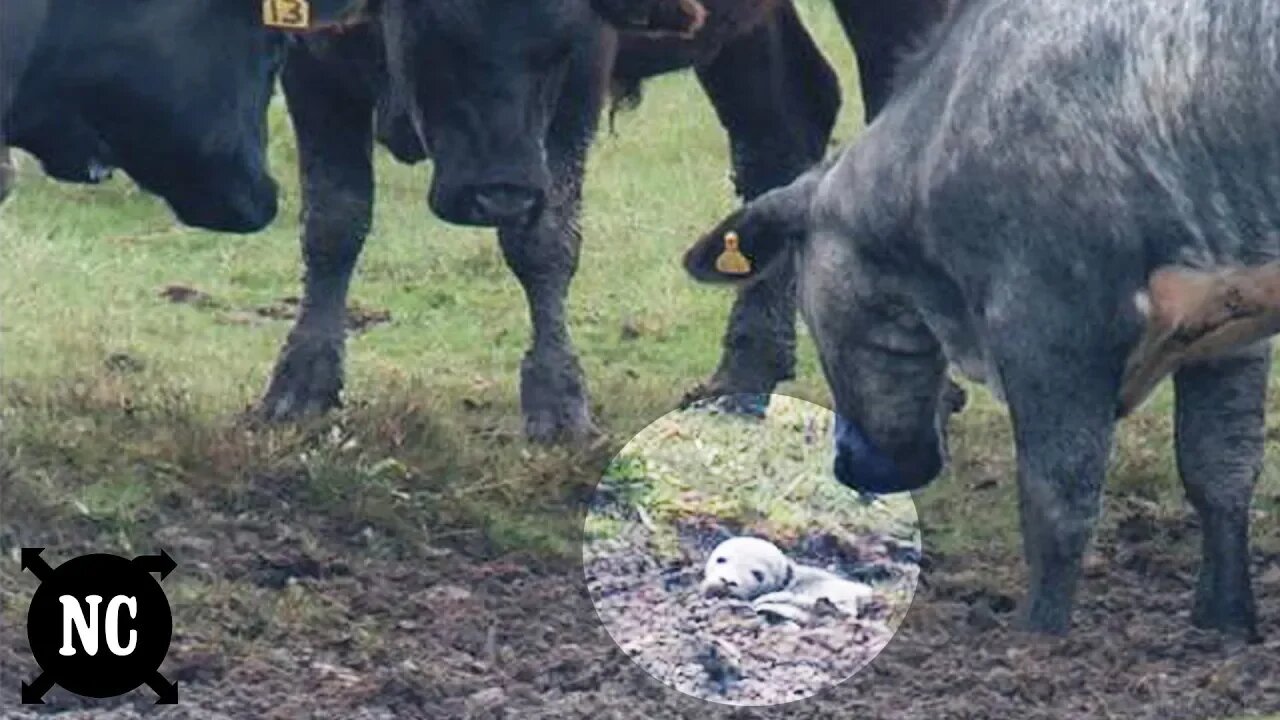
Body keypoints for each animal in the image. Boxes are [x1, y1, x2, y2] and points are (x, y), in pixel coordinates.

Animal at [257, 0, 942, 440]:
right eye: (437, 36)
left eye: (557, 48)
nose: (499, 194)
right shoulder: (310, 60)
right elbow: (333, 222)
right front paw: (299, 385)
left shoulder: (583, 79)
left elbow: (543, 242)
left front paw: (558, 401)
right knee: (782, 127)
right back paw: (743, 373)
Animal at [691, 0, 1280, 635]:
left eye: (807, 297)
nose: (857, 464)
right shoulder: (1227, 316)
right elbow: (1220, 468)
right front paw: (1224, 623)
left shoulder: (1048, 324)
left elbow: (1058, 502)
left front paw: (1040, 637)